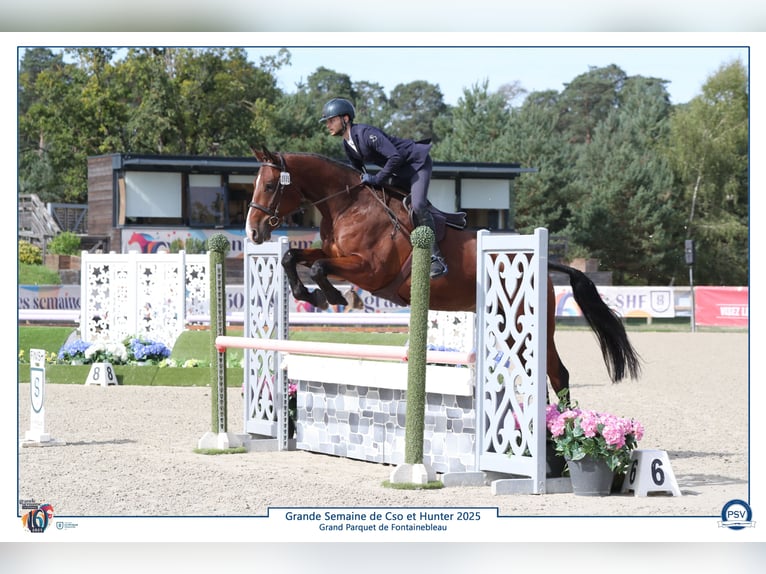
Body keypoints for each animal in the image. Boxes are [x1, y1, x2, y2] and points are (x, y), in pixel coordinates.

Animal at [245, 149, 641, 402]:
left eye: (270, 185)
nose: (253, 233)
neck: (347, 205)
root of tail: (542, 264)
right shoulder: (336, 254)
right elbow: (294, 256)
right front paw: (309, 294)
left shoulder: (369, 270)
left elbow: (319, 267)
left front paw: (331, 296)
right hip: (508, 325)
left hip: (528, 324)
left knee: (557, 373)